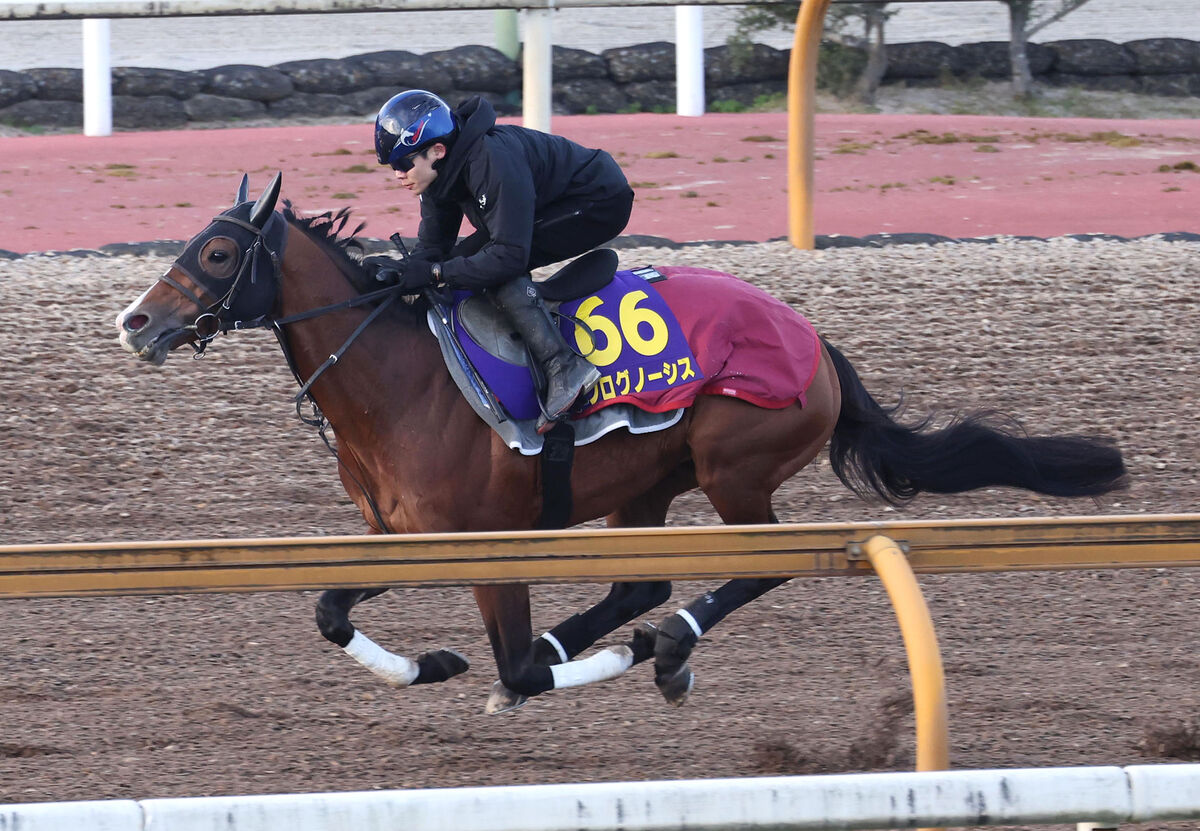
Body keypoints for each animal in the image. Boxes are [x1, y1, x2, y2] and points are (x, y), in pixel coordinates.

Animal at [114, 171, 1132, 710]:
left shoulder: (490, 545)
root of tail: (812, 339)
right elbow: (332, 613)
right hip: (648, 480)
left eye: (216, 252)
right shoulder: (398, 533)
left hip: (734, 469)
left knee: (757, 565)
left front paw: (542, 664)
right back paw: (618, 637)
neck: (400, 380)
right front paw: (437, 662)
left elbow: (516, 665)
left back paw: (668, 647)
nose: (135, 321)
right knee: (641, 580)